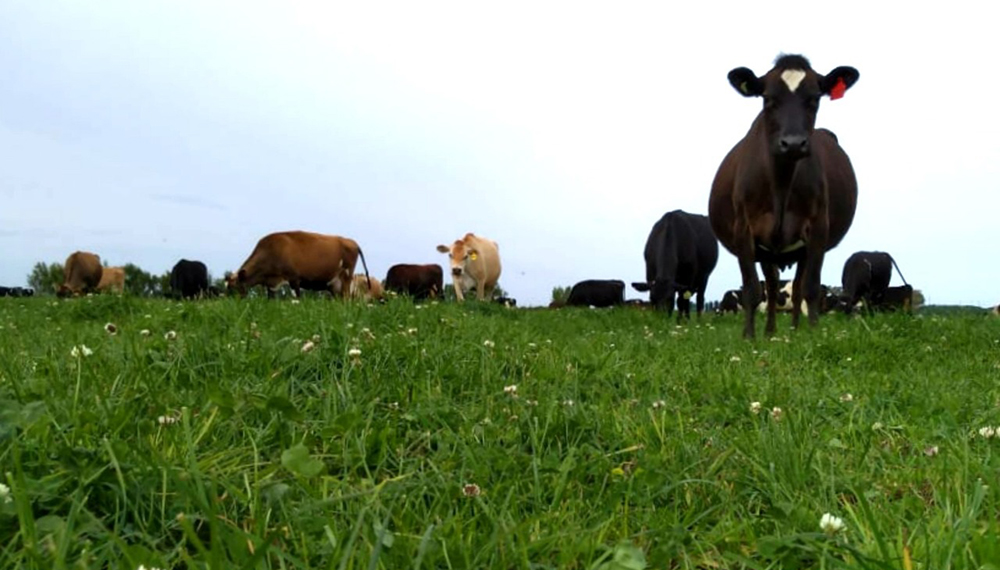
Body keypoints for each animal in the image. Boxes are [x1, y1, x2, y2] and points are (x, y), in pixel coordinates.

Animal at [230, 230, 372, 300]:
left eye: (234, 288)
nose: (229, 303)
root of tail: (352, 242)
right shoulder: (271, 284)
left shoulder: (294, 278)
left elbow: (297, 298)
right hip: (334, 284)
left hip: (346, 277)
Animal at [712, 52, 860, 338]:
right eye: (768, 98)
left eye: (814, 98)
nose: (793, 143)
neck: (780, 184)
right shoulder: (744, 229)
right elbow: (751, 289)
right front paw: (749, 337)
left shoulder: (818, 228)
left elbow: (811, 288)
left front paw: (813, 335)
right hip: (768, 252)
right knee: (770, 287)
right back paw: (770, 332)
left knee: (798, 286)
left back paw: (794, 329)